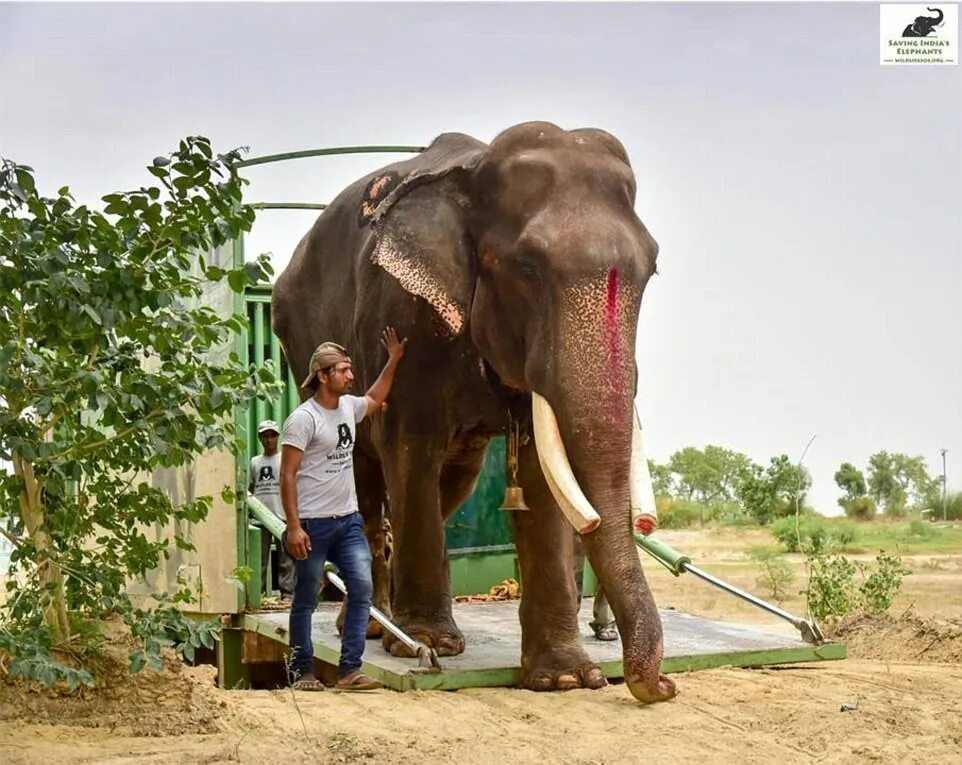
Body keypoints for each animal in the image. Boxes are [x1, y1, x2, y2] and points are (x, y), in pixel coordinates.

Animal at [272, 121, 676, 704]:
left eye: (652, 269)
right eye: (528, 267)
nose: (663, 685)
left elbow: (540, 476)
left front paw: (566, 678)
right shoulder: (404, 312)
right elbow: (410, 444)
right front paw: (426, 643)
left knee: (453, 480)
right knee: (368, 479)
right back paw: (371, 626)